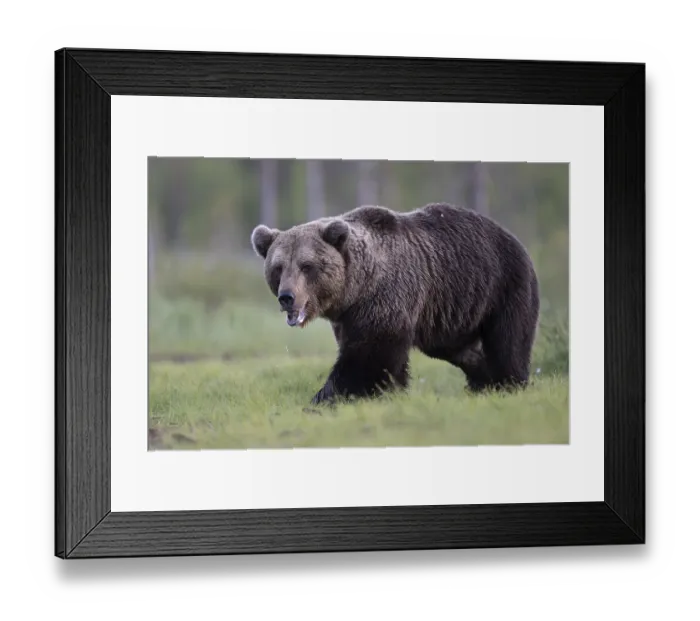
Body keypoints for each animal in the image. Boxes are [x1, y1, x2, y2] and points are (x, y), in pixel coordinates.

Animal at [250, 203, 540, 406]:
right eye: (278, 267)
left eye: (306, 266)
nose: (287, 296)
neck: (356, 289)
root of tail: (513, 238)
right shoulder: (347, 318)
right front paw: (392, 392)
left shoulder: (385, 300)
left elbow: (368, 356)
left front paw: (323, 399)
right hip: (451, 312)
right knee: (462, 350)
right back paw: (482, 382)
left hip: (503, 286)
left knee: (508, 341)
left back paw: (509, 383)